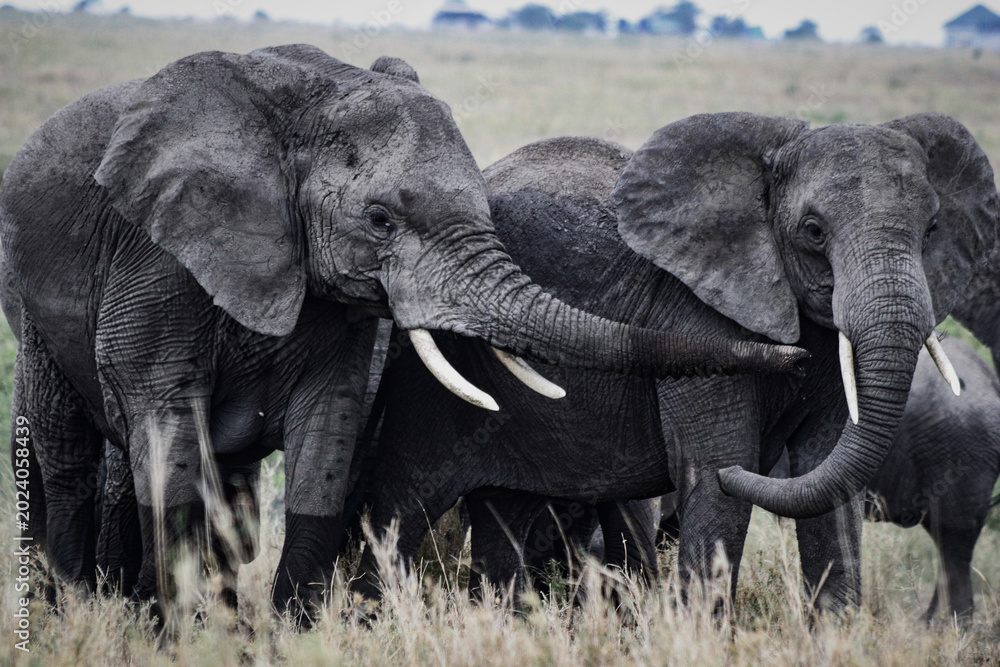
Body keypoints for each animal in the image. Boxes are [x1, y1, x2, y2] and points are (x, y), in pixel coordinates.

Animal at [0, 45, 804, 620]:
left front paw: (292, 634)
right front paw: (176, 637)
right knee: (64, 454)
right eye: (381, 220)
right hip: (28, 297)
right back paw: (70, 613)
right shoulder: (159, 255)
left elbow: (330, 427)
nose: (794, 350)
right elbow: (164, 420)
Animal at [349, 114, 998, 613]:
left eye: (932, 229)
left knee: (503, 512)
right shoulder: (697, 316)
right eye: (813, 231)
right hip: (421, 382)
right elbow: (715, 481)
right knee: (404, 507)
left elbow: (829, 482)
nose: (788, 357)